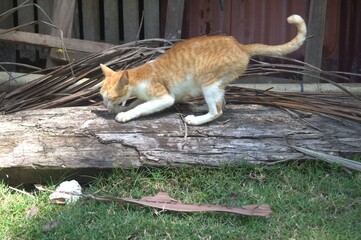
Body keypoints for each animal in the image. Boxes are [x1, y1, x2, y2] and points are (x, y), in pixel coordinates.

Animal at [100, 14, 306, 125]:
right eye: (102, 97)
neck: (138, 76)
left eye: (110, 98)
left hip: (209, 82)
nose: (105, 105)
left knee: (218, 111)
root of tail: (240, 45)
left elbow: (141, 107)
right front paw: (125, 108)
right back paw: (199, 106)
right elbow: (137, 102)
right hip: (215, 86)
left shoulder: (164, 97)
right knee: (223, 102)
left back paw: (196, 119)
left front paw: (124, 114)